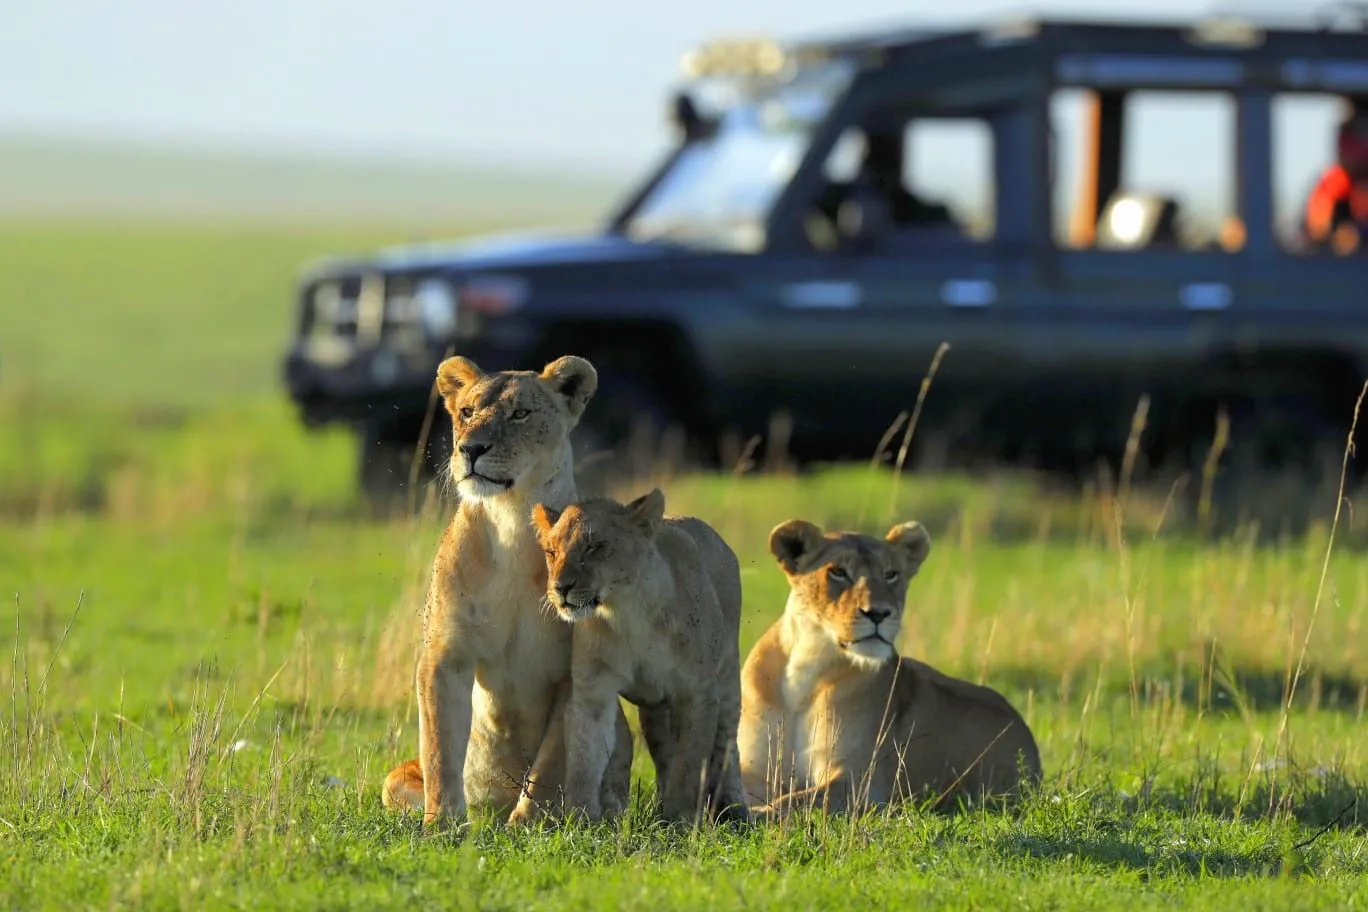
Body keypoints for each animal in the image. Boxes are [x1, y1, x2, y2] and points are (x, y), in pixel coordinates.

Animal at [380, 354, 633, 826]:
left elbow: (551, 763)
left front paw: (530, 825)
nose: (471, 449)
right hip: (395, 779)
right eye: (466, 412)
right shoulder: (446, 656)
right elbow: (440, 748)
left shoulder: (575, 673)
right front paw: (442, 823)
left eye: (520, 414)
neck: (511, 519)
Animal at [527, 488, 749, 825]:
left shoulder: (697, 693)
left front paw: (682, 819)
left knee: (726, 744)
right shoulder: (593, 692)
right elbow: (584, 758)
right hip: (655, 711)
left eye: (594, 546)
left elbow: (691, 761)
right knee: (664, 751)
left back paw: (736, 809)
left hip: (727, 680)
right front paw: (580, 818)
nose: (560, 588)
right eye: (552, 552)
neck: (627, 612)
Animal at [738, 518, 1041, 818]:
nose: (878, 613)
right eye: (838, 572)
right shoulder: (755, 769)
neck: (807, 665)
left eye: (892, 574)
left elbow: (793, 800)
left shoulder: (864, 781)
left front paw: (753, 813)